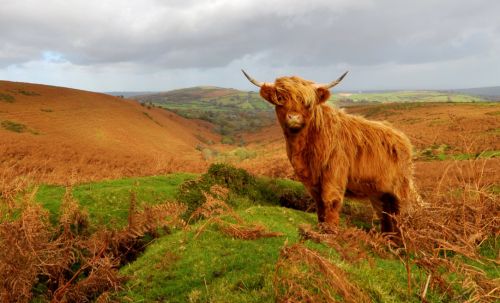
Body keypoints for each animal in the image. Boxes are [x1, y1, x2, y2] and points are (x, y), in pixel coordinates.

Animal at [242, 70, 422, 233]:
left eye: (308, 103)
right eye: (280, 99)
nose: (294, 118)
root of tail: (402, 138)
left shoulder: (334, 172)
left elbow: (330, 200)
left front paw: (330, 231)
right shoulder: (312, 180)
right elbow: (319, 203)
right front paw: (321, 226)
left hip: (401, 190)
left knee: (401, 215)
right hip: (379, 193)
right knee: (386, 216)